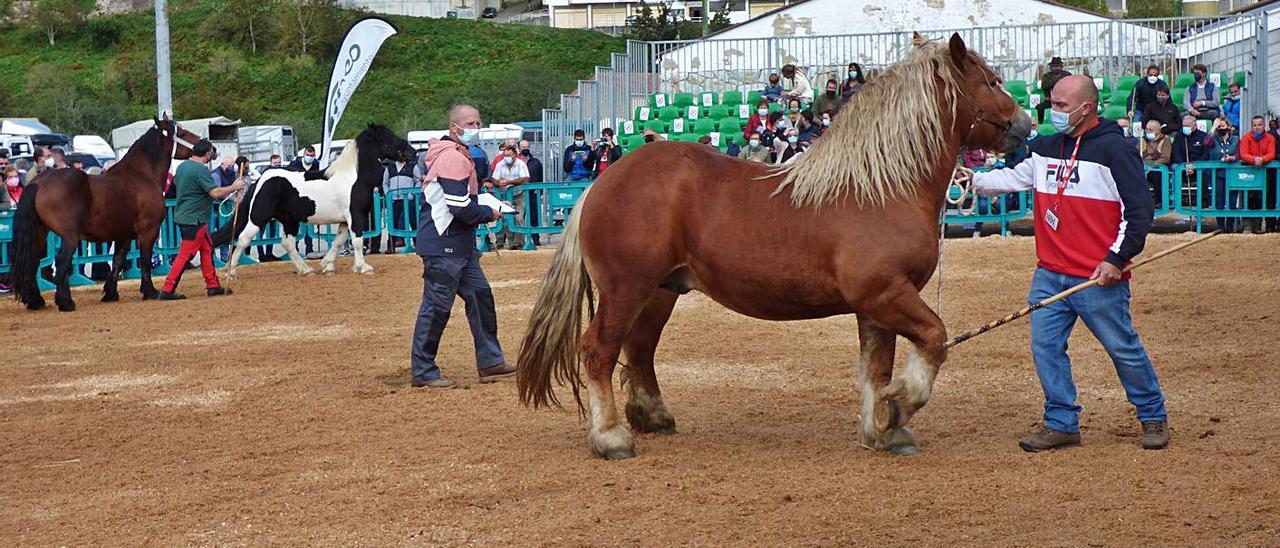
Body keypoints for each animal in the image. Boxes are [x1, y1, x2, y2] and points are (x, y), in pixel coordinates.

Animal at [10, 114, 200, 312]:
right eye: (182, 132)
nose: (207, 145)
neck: (142, 175)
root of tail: (38, 183)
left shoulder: (124, 235)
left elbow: (118, 261)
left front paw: (110, 293)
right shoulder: (148, 231)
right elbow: (146, 261)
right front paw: (150, 292)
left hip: (39, 232)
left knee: (32, 262)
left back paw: (36, 301)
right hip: (70, 236)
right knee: (62, 263)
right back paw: (65, 302)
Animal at [215, 124, 412, 277]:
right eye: (387, 136)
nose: (412, 152)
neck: (354, 177)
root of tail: (262, 178)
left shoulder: (344, 220)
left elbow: (339, 241)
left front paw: (327, 265)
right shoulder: (355, 216)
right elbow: (357, 240)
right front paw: (363, 267)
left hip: (288, 220)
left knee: (287, 243)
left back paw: (305, 269)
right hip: (258, 216)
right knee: (243, 239)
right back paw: (231, 273)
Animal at [514, 34, 1034, 458]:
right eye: (992, 80)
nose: (1026, 124)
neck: (881, 186)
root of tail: (601, 184)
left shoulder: (877, 306)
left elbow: (876, 368)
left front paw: (881, 429)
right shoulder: (885, 293)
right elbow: (934, 338)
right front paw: (900, 404)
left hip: (660, 291)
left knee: (639, 350)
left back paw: (653, 417)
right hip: (627, 289)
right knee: (599, 351)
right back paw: (611, 438)